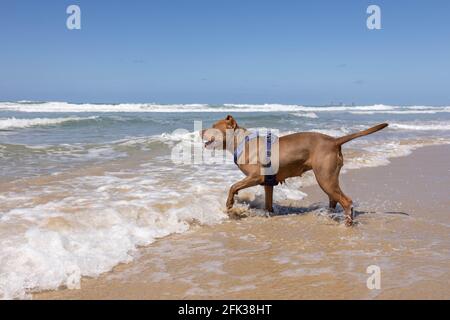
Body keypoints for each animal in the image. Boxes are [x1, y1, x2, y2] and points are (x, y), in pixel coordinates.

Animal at [202, 116, 388, 226]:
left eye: (213, 126)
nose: (200, 130)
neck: (241, 141)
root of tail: (333, 140)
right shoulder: (267, 182)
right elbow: (268, 203)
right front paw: (268, 214)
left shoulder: (256, 177)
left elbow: (233, 186)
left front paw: (230, 203)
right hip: (329, 178)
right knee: (334, 199)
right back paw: (329, 215)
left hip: (324, 178)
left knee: (346, 201)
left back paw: (347, 223)